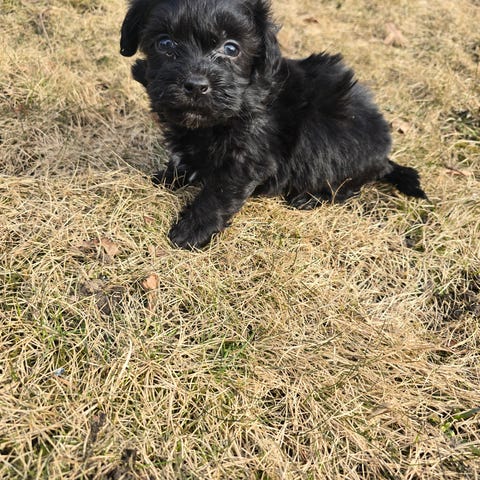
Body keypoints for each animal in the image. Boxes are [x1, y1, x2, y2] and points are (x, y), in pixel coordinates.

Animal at [120, 0, 427, 249]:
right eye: (165, 44)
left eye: (231, 48)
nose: (196, 85)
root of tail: (384, 156)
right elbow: (184, 158)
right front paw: (167, 177)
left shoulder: (251, 155)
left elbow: (220, 192)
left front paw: (192, 229)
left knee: (349, 185)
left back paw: (311, 197)